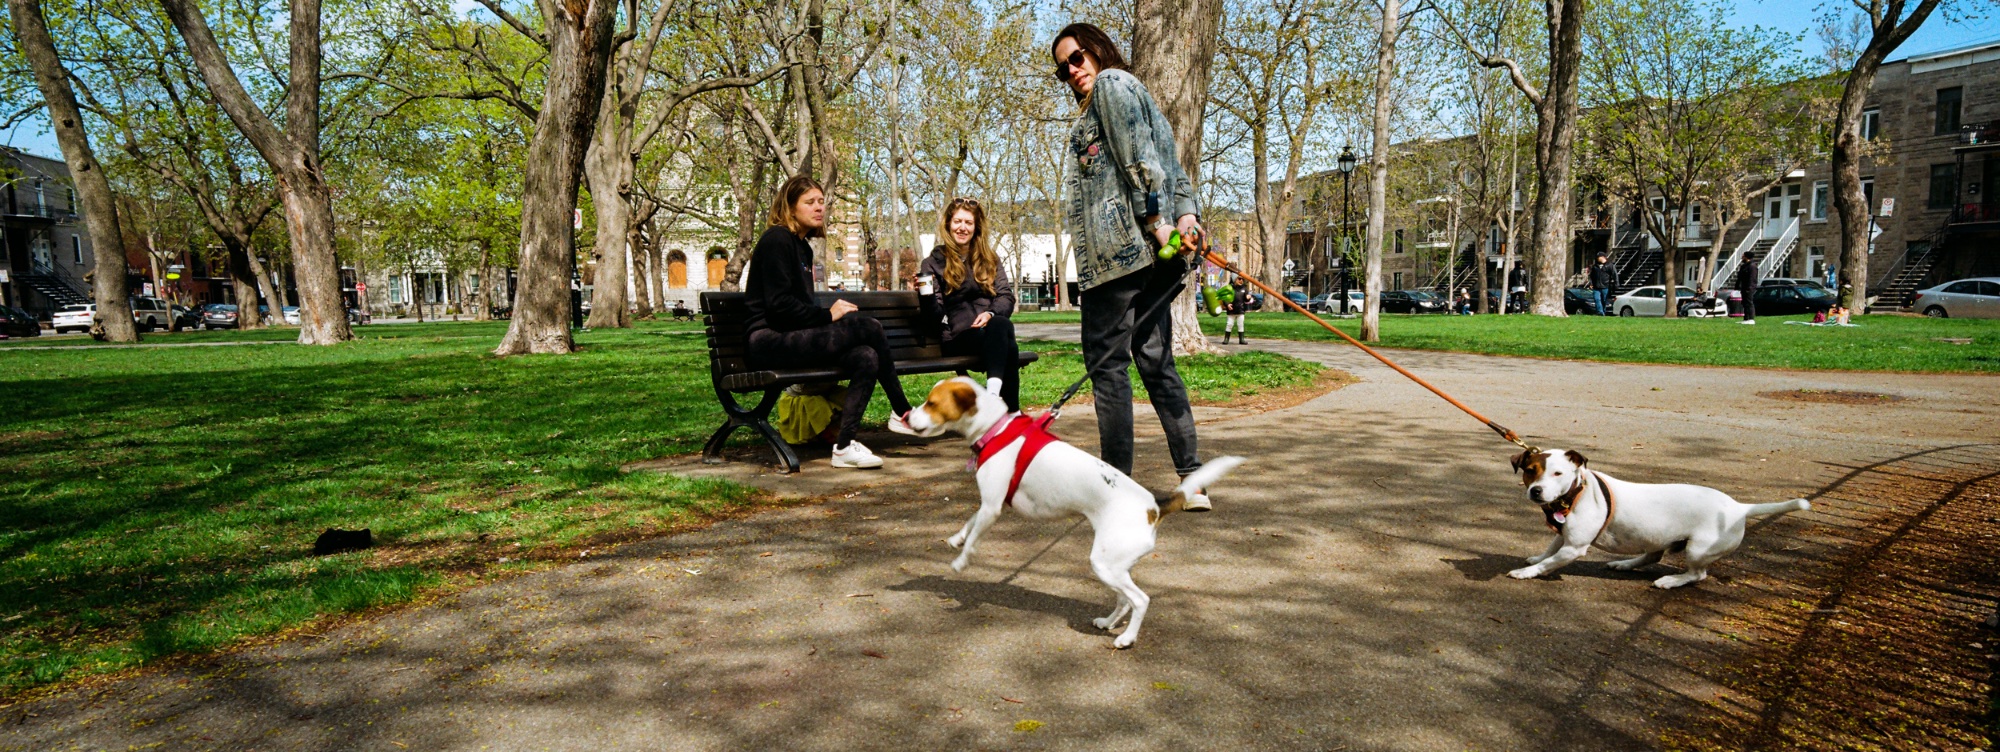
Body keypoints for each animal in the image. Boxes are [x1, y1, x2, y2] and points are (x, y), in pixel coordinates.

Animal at [904, 378, 1240, 648]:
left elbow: (975, 537)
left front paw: (961, 561)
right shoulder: (990, 503)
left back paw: (1126, 638)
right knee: (1124, 600)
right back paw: (1108, 623)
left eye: (931, 403)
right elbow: (970, 522)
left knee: (1140, 600)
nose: (906, 416)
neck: (996, 430)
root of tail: (1153, 506)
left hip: (1105, 564)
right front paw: (957, 538)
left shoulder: (993, 506)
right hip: (1114, 566)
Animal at [1504, 446, 1808, 588]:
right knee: (1654, 555)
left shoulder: (1574, 548)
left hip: (1699, 549)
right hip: (1657, 537)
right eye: (1530, 470)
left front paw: (1525, 572)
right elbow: (1549, 550)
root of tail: (1739, 507)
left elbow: (1549, 563)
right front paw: (1536, 558)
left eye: (1558, 473)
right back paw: (1625, 564)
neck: (1576, 493)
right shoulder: (1564, 535)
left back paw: (1671, 581)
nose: (1536, 491)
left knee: (1697, 574)